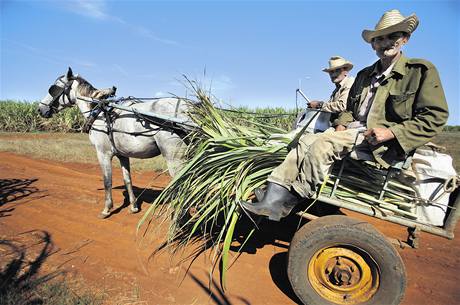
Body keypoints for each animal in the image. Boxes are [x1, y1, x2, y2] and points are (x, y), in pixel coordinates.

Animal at [37, 67, 192, 217]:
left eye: (53, 88)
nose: (40, 109)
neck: (98, 113)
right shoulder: (123, 154)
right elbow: (127, 179)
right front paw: (133, 206)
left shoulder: (103, 153)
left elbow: (107, 181)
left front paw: (107, 209)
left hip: (174, 158)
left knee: (182, 186)